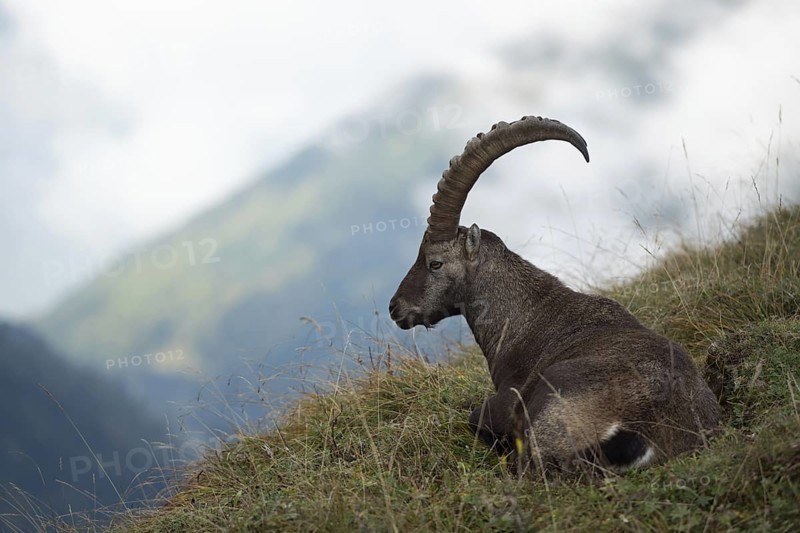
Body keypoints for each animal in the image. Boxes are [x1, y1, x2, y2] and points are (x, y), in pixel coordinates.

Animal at [388, 116, 720, 472]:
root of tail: (640, 431)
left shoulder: (506, 401)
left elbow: (475, 417)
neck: (526, 320)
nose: (395, 307)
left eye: (435, 263)